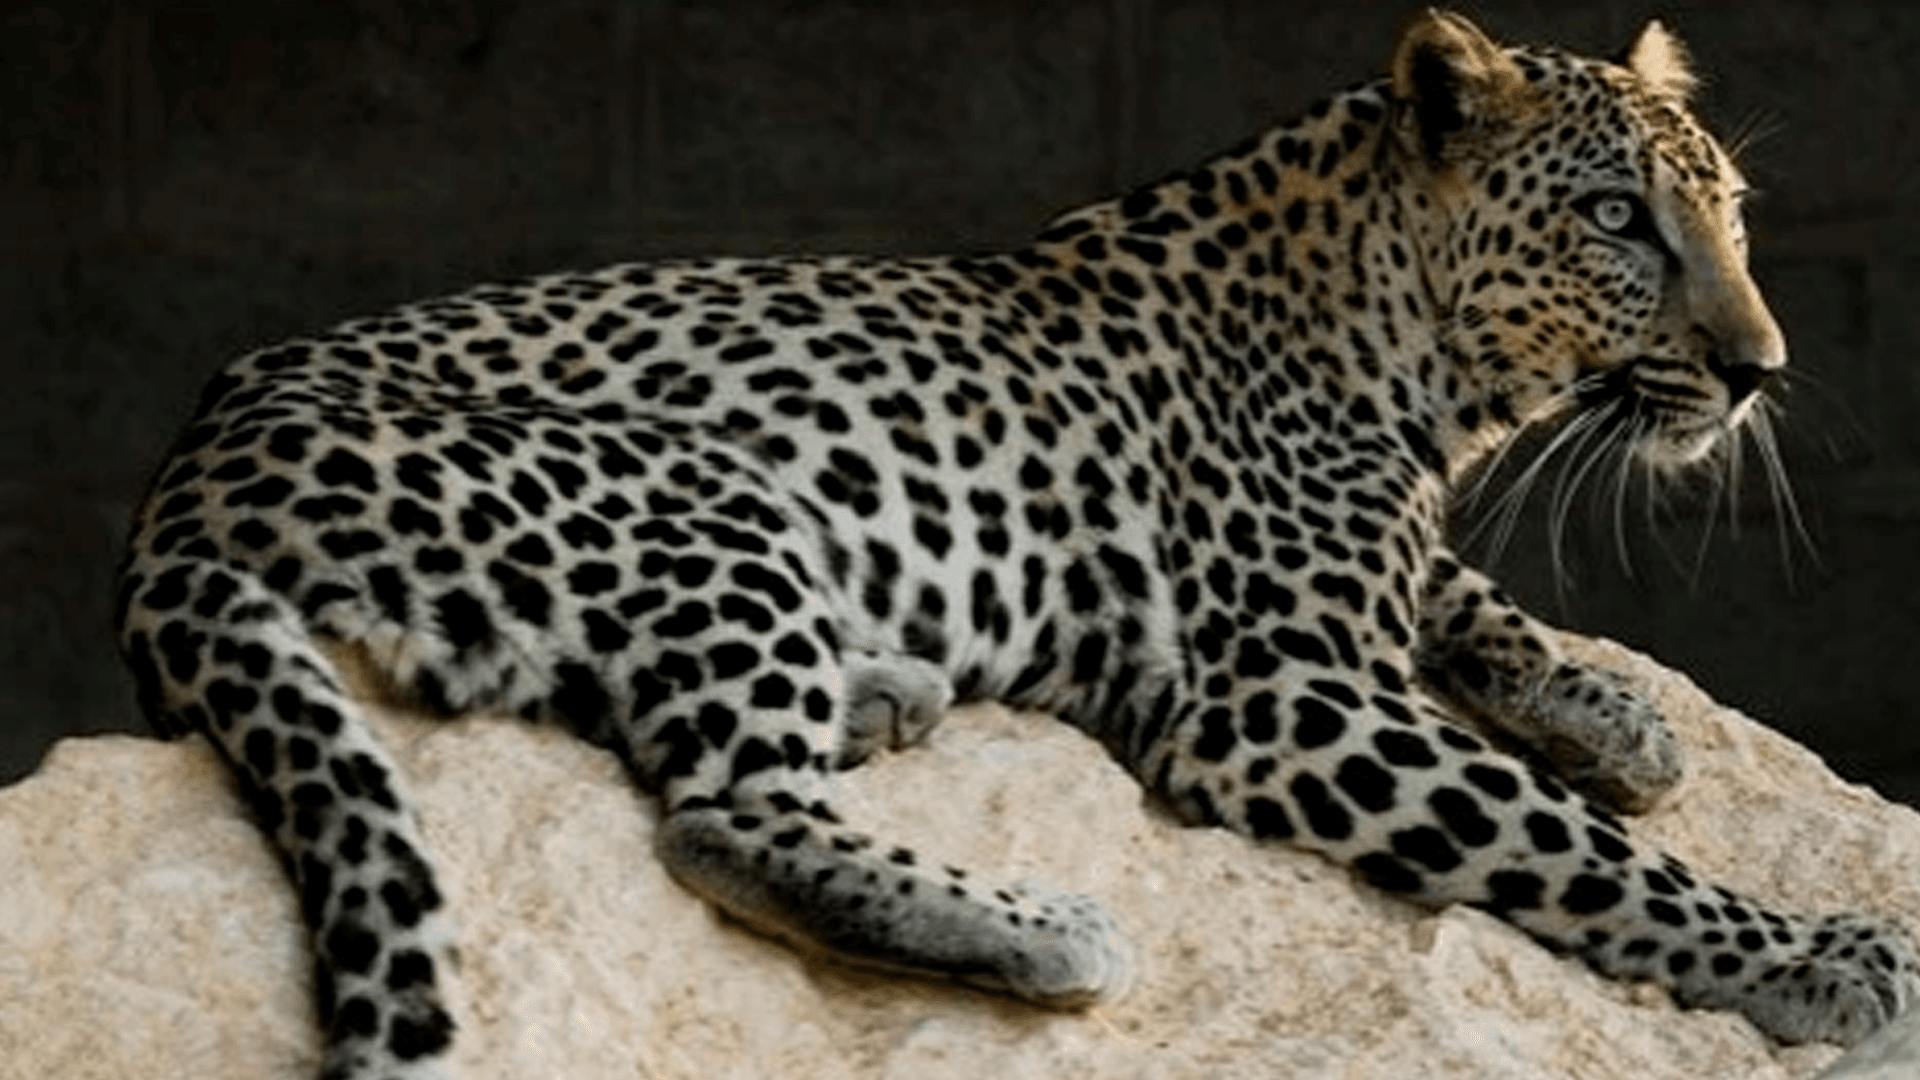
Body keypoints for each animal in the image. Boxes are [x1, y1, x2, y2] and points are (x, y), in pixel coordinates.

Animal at [114, 11, 1919, 1078]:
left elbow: (1460, 597)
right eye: (1618, 220)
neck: (1415, 355)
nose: (1760, 368)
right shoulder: (1277, 697)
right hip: (704, 498)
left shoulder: (1371, 591)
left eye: (1730, 211)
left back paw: (889, 690)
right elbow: (1563, 844)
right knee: (719, 815)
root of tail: (179, 480)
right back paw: (1042, 928)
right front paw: (1811, 953)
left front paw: (1616, 715)